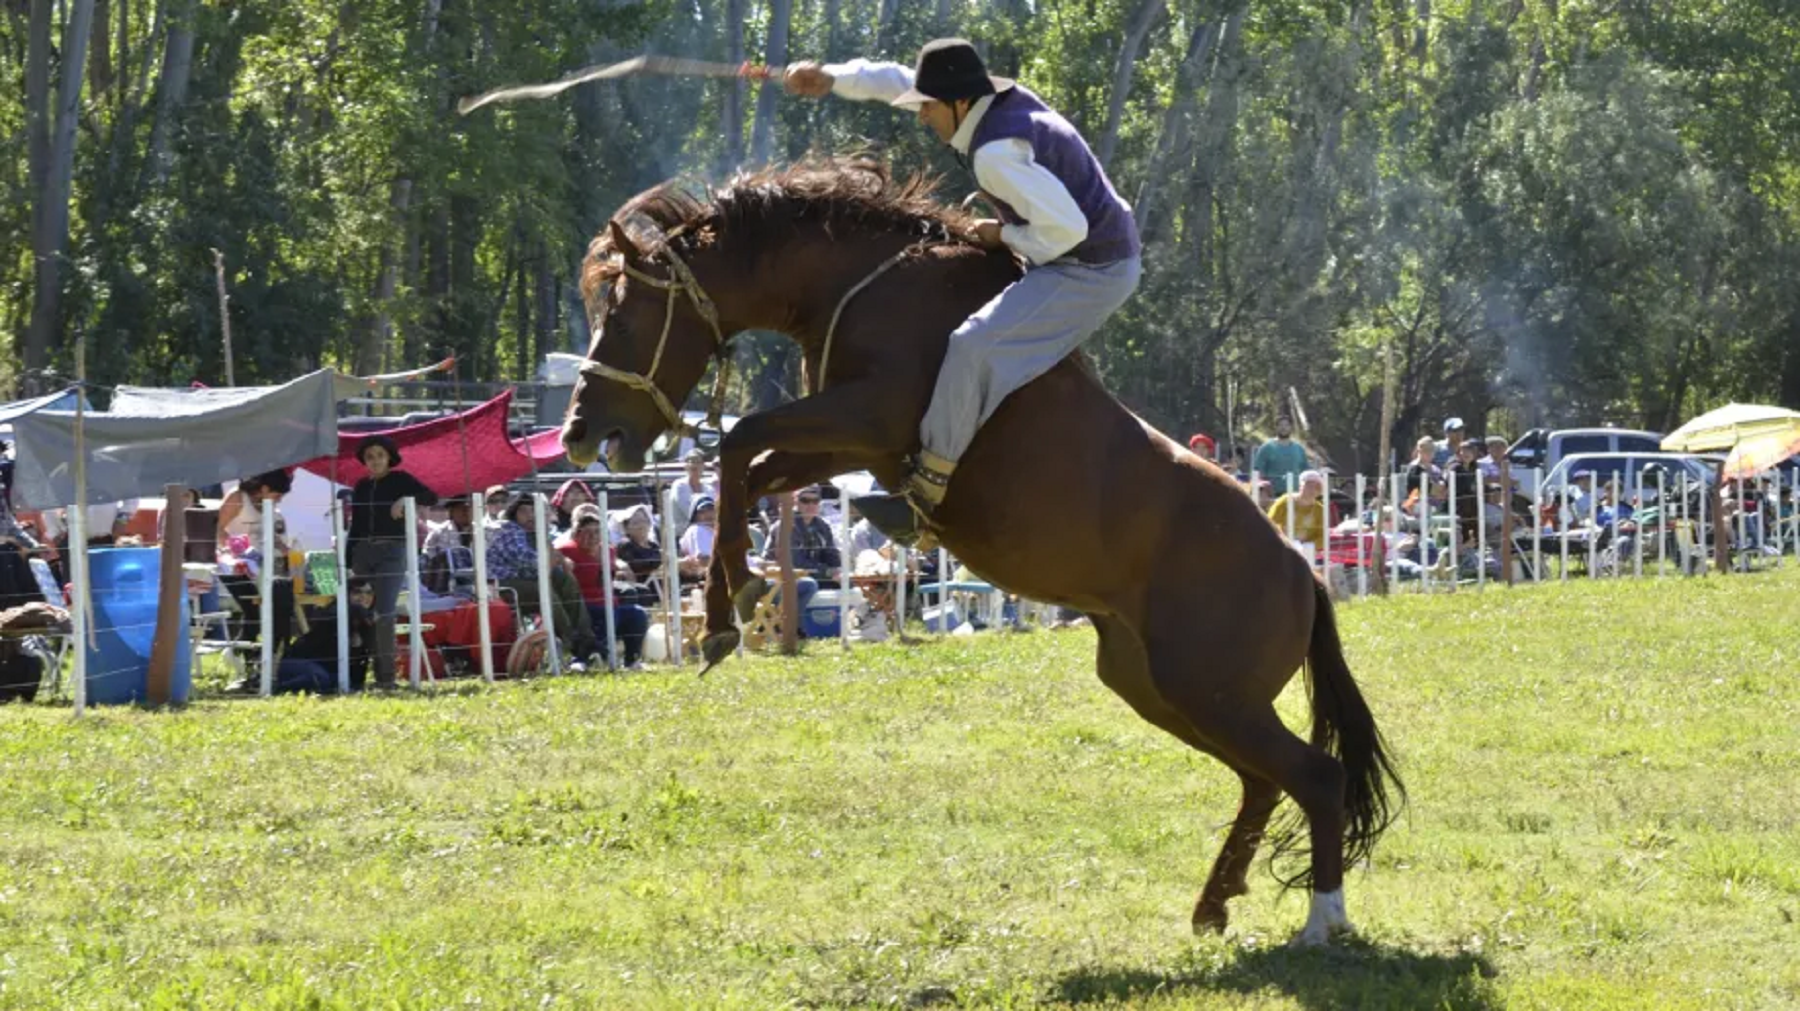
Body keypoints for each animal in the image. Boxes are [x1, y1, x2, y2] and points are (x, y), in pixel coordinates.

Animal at [561, 159, 1404, 942]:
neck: (863, 285)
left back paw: (1323, 919)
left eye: (626, 316)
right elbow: (755, 466)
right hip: (1162, 688)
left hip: (1210, 691)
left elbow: (742, 440)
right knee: (1264, 782)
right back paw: (1213, 904)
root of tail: (1299, 571)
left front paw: (722, 609)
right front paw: (731, 595)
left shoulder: (868, 417)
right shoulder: (847, 441)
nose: (578, 432)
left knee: (1315, 775)